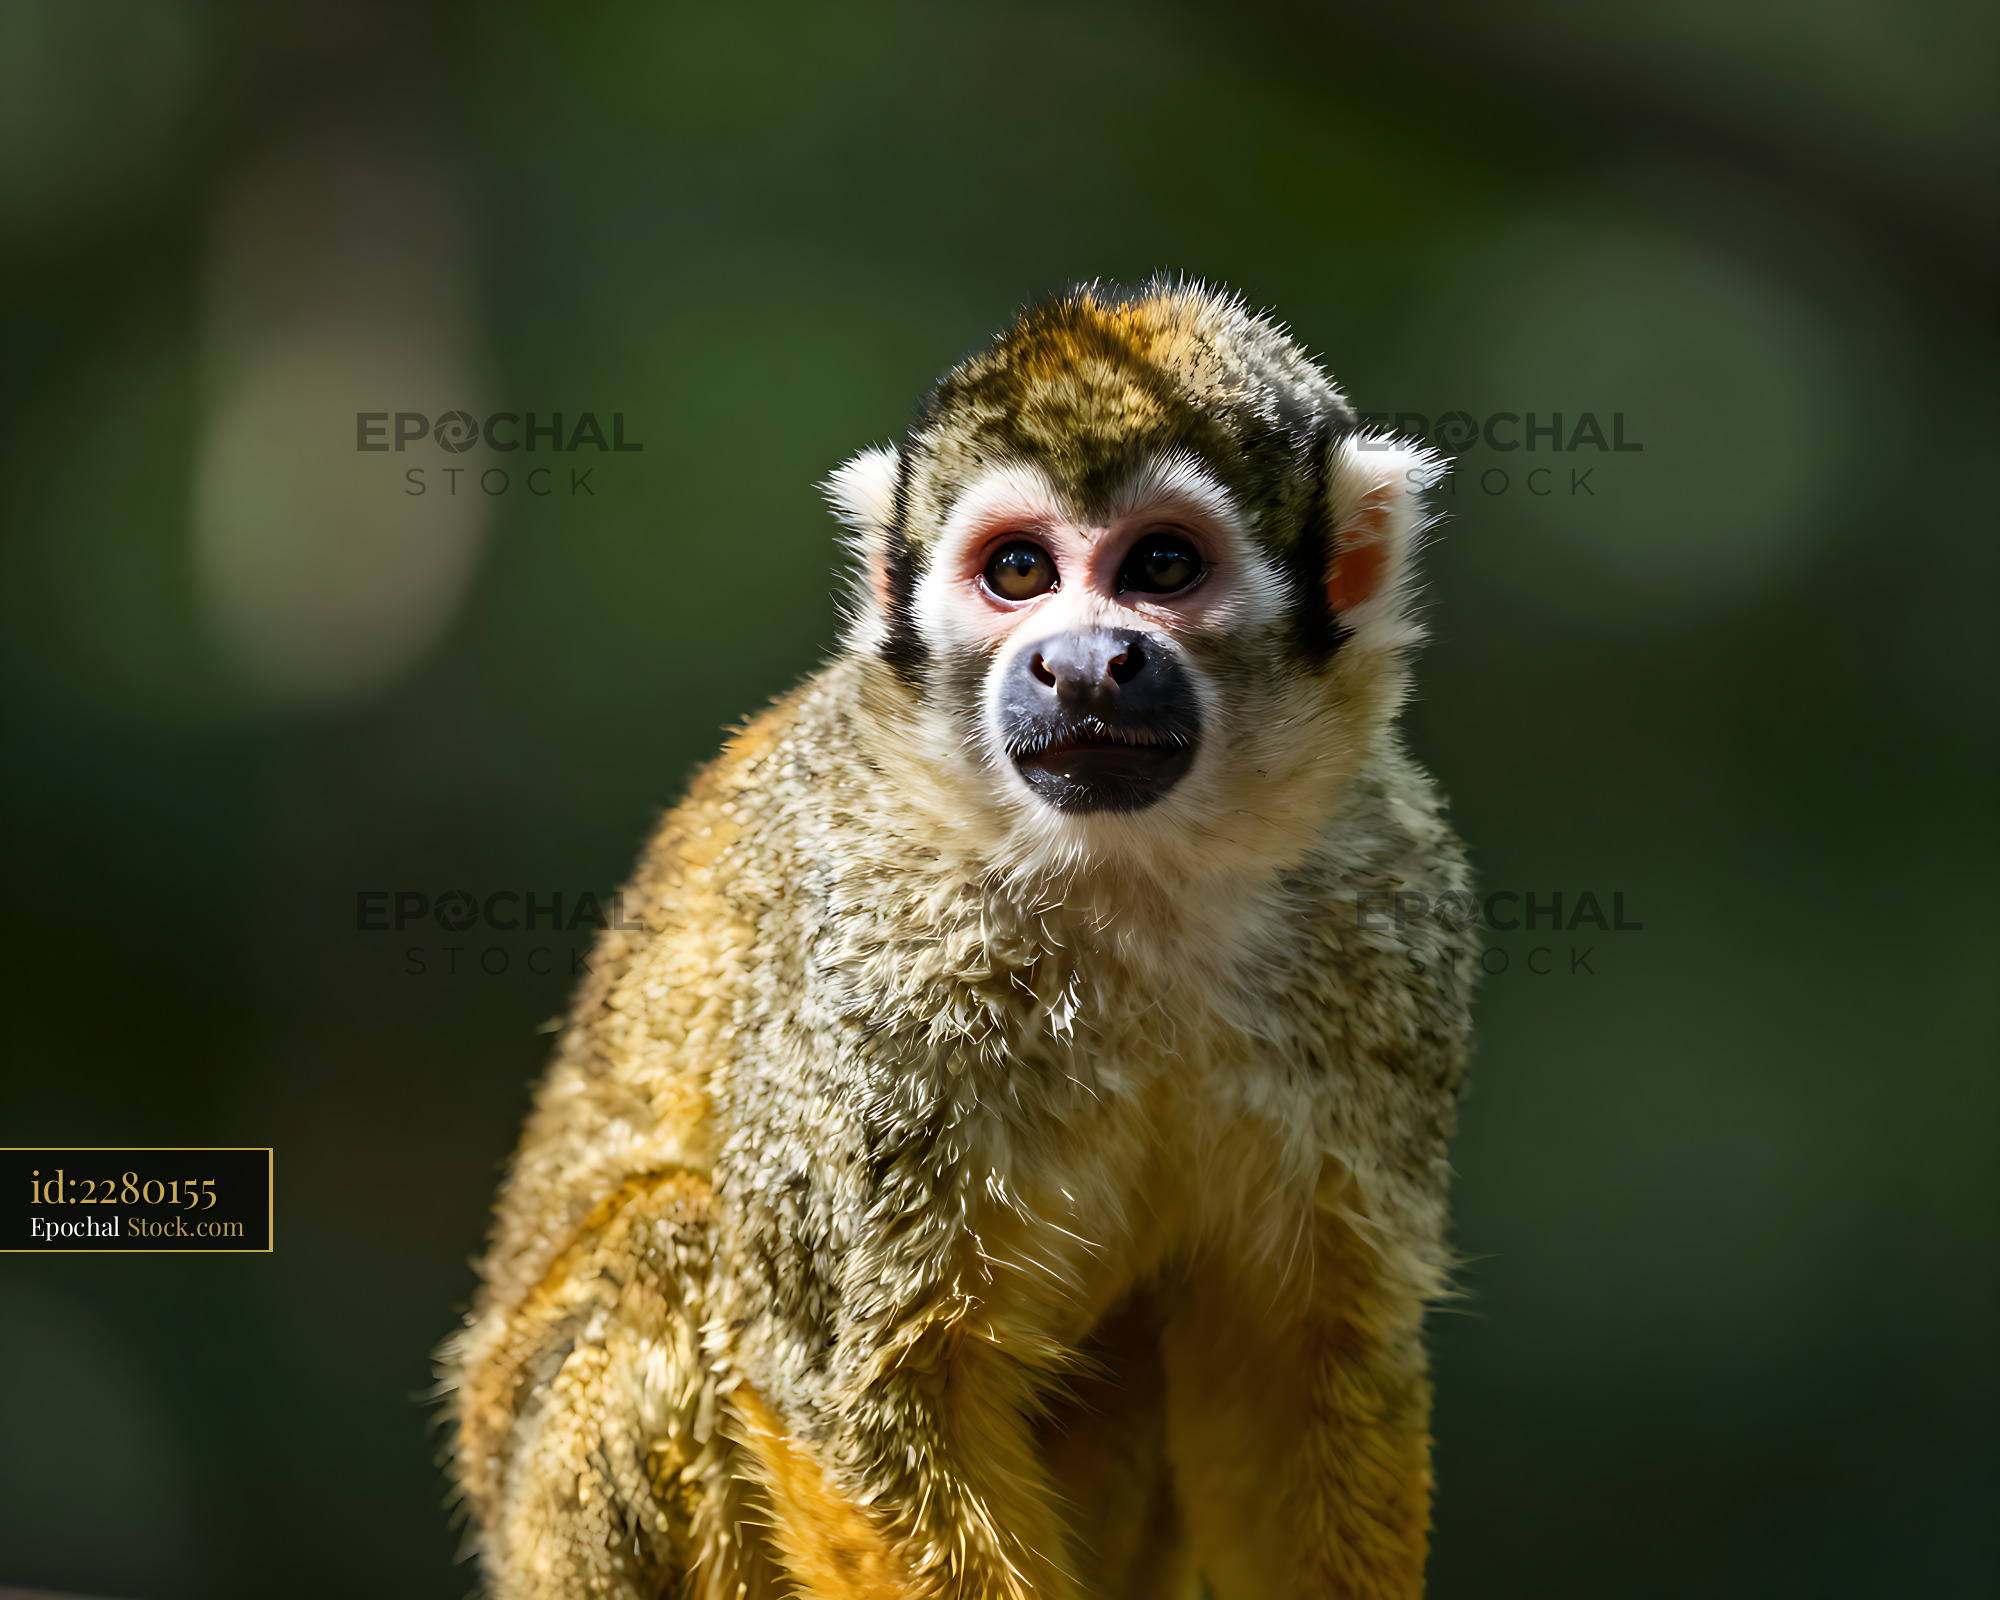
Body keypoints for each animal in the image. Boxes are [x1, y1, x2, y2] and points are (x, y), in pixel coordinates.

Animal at [440, 278, 1474, 1600]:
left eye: (1162, 564)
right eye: (1019, 571)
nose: (1080, 663)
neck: (1129, 875)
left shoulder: (1392, 903)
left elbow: (1290, 1350)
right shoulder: (872, 947)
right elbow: (858, 1381)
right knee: (673, 1241)